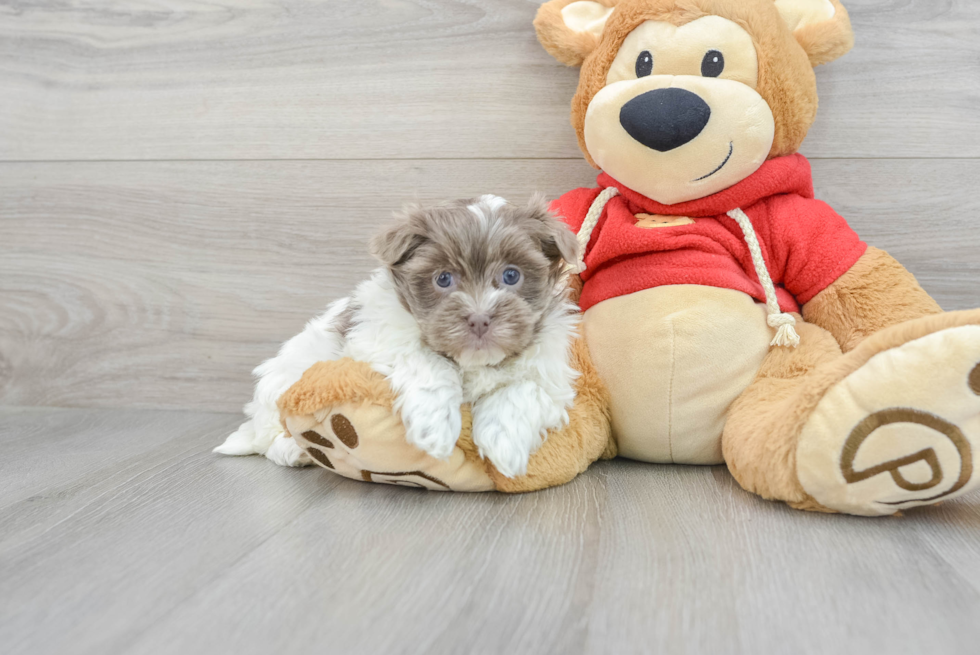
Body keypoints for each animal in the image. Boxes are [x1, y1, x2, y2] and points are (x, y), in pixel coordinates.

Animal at [214, 193, 580, 476]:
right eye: (443, 278)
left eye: (511, 275)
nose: (479, 319)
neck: (471, 362)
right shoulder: (380, 338)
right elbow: (427, 362)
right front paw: (435, 428)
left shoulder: (548, 365)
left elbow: (525, 388)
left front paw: (505, 444)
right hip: (281, 383)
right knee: (270, 437)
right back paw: (297, 451)